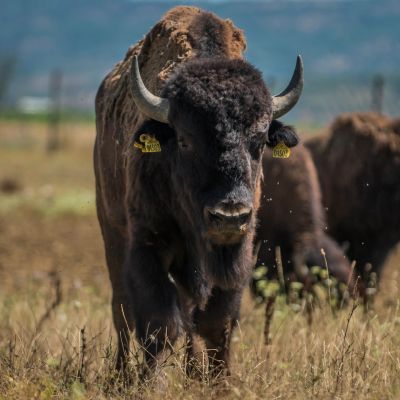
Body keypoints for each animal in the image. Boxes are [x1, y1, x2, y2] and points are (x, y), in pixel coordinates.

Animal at [94, 5, 304, 376]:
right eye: (184, 140)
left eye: (259, 141)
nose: (229, 216)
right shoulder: (149, 245)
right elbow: (159, 323)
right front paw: (152, 381)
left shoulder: (239, 251)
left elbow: (217, 323)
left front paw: (220, 380)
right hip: (112, 231)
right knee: (121, 310)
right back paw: (120, 372)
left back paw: (191, 368)